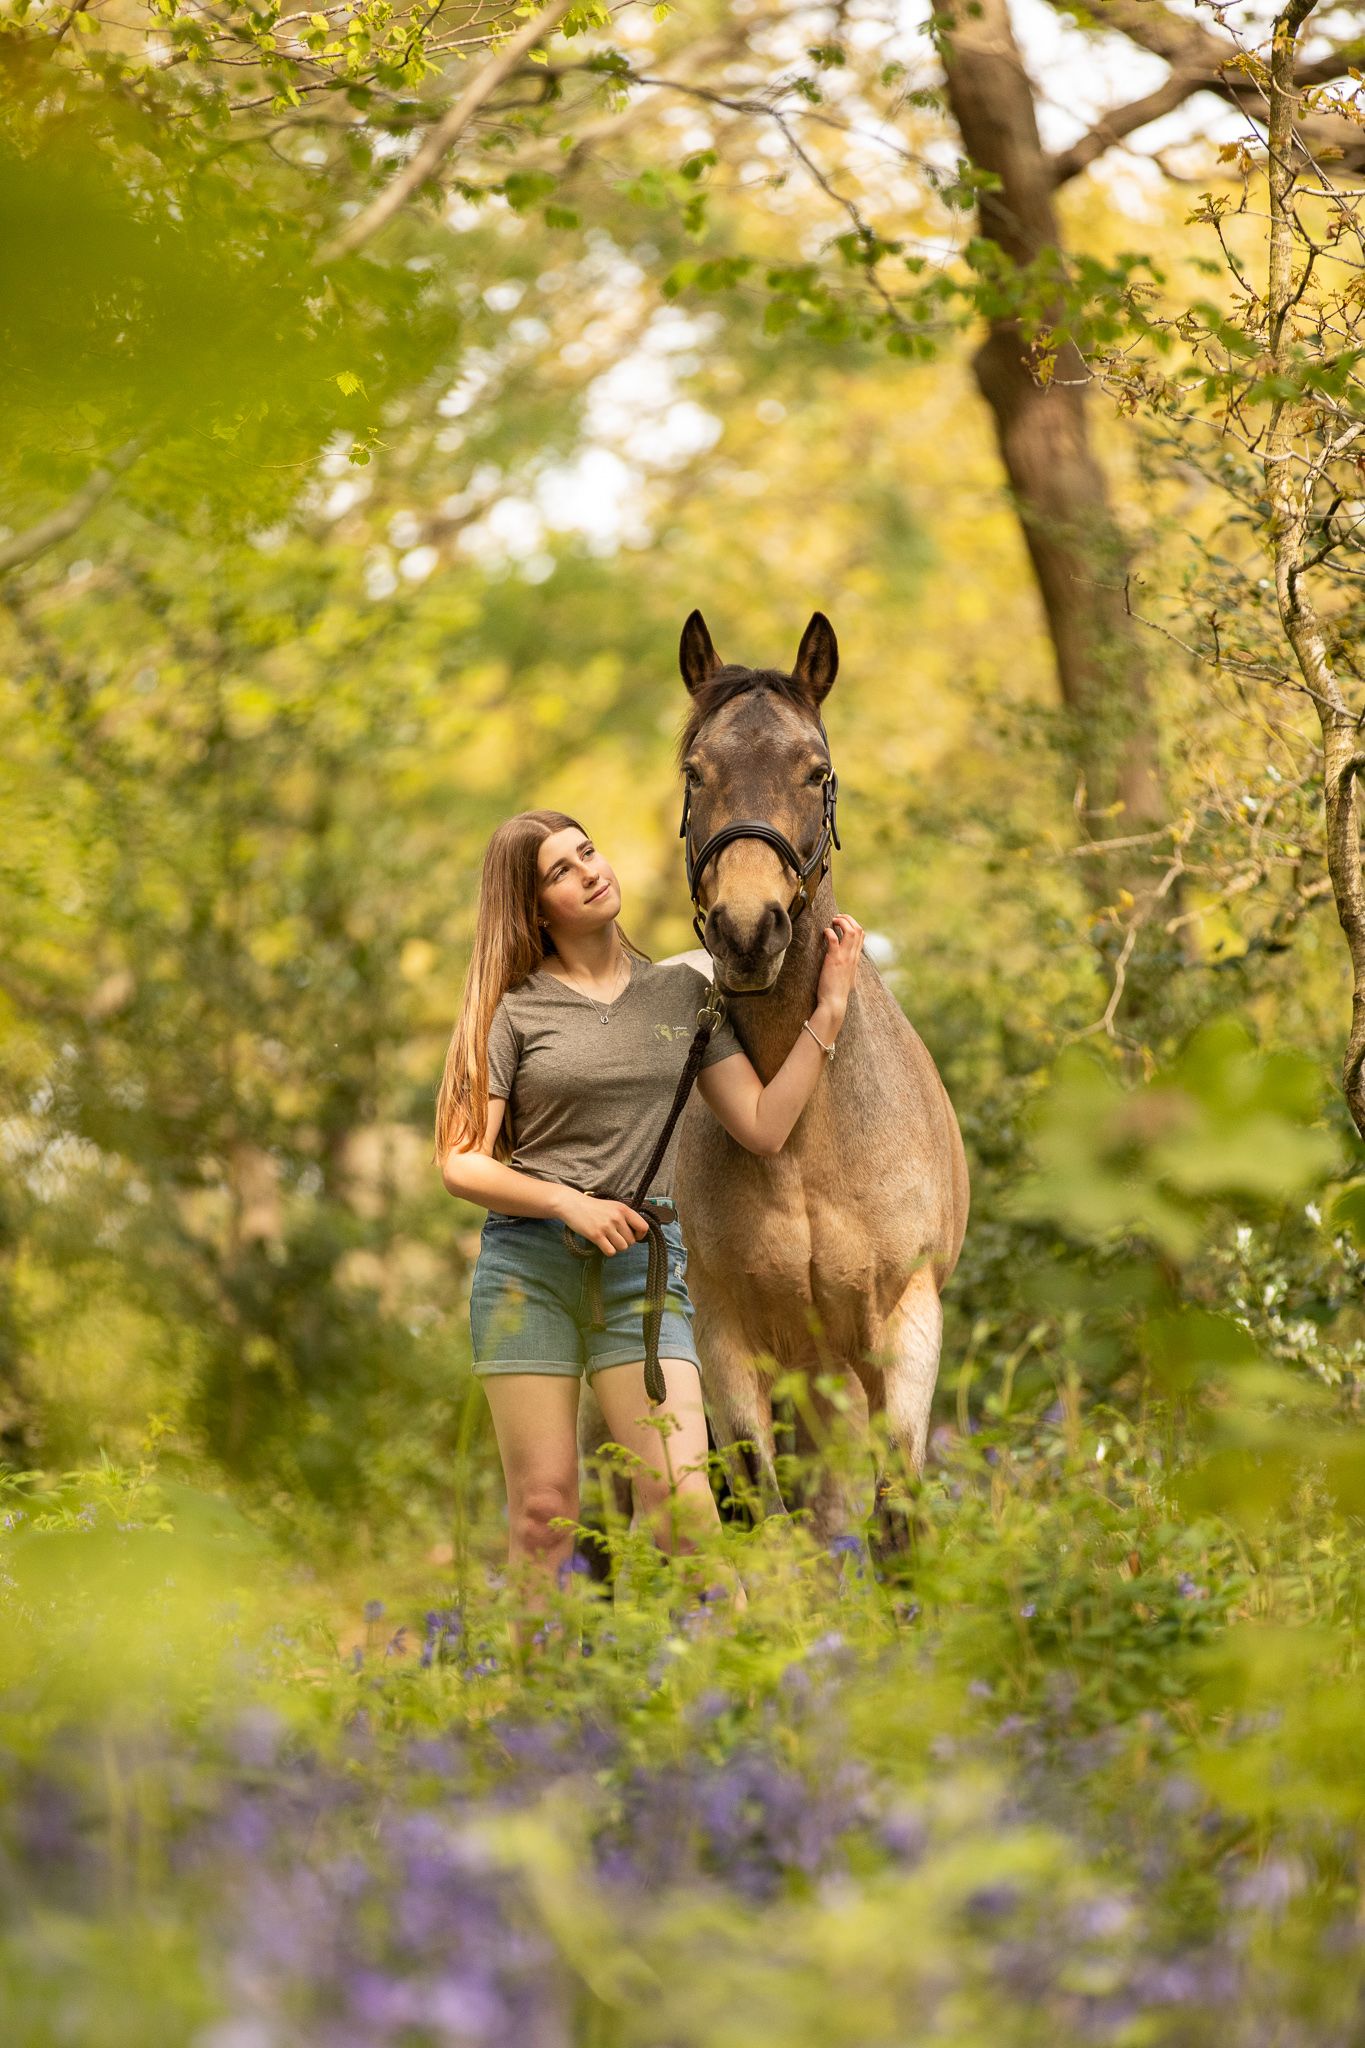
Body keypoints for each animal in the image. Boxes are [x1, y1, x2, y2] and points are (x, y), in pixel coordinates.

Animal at [577, 608, 969, 1563]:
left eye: (816, 771)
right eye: (694, 771)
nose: (748, 931)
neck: (805, 1131)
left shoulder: (903, 1327)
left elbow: (893, 1518)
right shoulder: (725, 1342)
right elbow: (762, 1521)